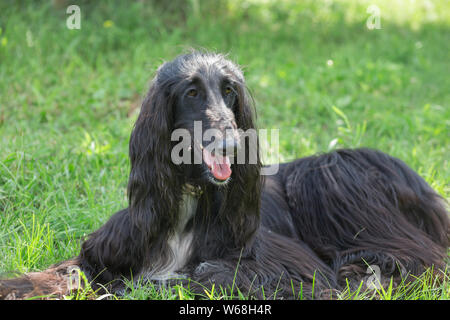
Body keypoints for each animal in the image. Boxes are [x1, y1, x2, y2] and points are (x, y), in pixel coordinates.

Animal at [0, 51, 446, 298]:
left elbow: (199, 272)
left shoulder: (290, 264)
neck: (190, 199)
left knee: (428, 262)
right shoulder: (109, 246)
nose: (234, 145)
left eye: (229, 91)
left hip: (326, 172)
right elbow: (69, 270)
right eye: (192, 92)